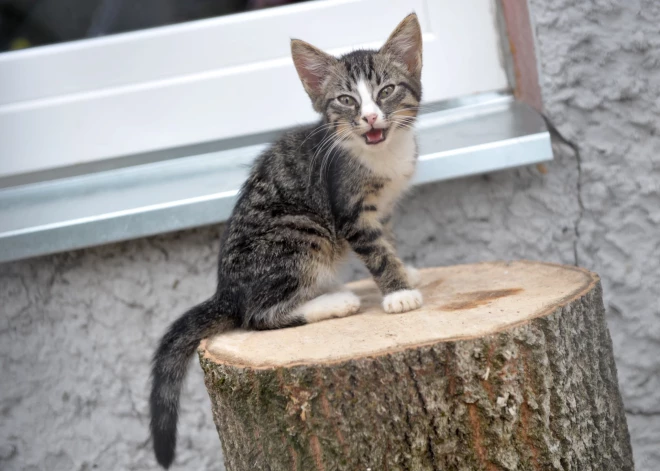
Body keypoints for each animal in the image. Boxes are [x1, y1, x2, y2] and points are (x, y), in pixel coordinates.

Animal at [151, 12, 422, 470]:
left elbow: (389, 243)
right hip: (299, 229)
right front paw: (399, 293)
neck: (379, 155)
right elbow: (378, 252)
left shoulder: (382, 209)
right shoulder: (351, 212)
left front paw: (409, 273)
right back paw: (335, 301)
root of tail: (226, 291)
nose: (370, 118)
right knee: (257, 316)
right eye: (346, 100)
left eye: (386, 91)